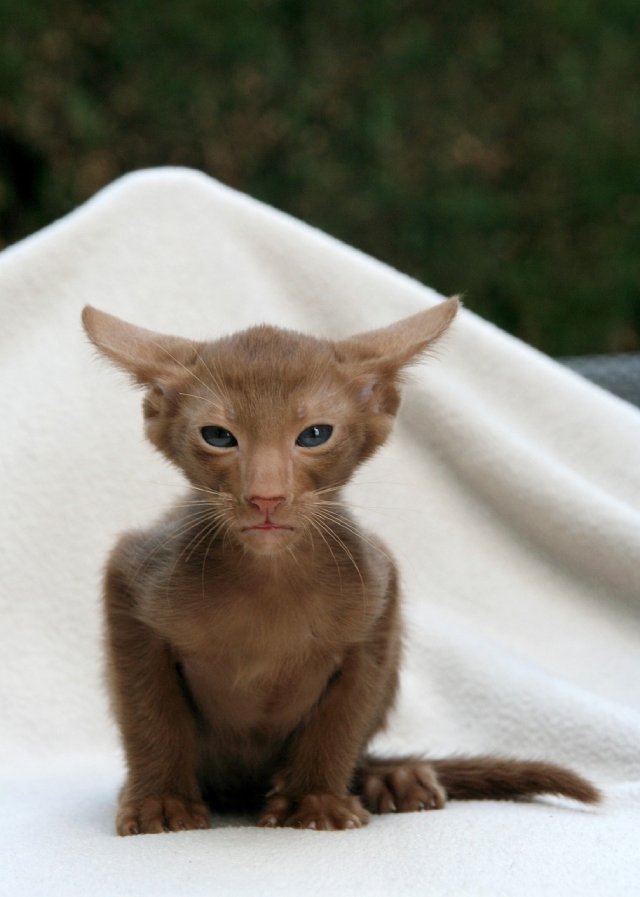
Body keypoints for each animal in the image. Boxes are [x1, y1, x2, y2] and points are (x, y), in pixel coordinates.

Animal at [81, 300, 600, 832]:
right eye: (218, 437)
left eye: (314, 435)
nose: (266, 497)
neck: (269, 580)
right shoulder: (131, 582)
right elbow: (151, 715)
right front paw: (161, 801)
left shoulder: (378, 606)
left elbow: (341, 721)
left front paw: (313, 800)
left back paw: (391, 779)